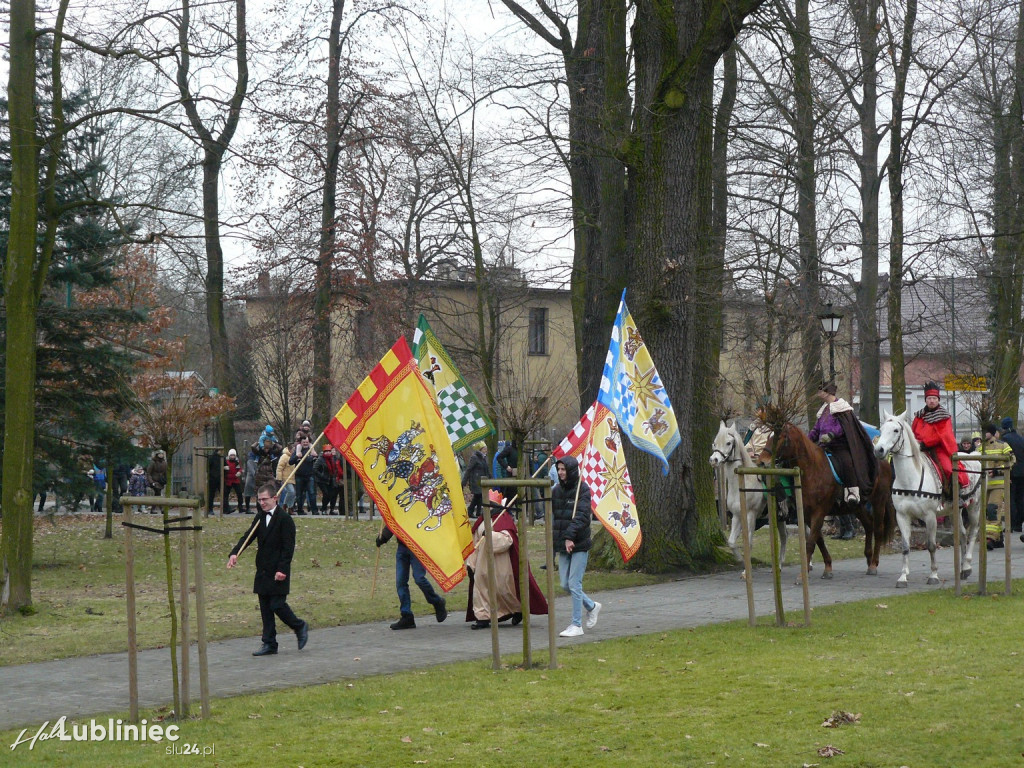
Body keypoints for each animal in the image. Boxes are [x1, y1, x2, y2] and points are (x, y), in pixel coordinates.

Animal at [712, 421, 790, 565]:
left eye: (728, 443)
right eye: (715, 443)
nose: (713, 460)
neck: (744, 481)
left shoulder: (751, 515)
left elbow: (748, 543)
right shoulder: (737, 516)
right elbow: (731, 542)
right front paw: (740, 560)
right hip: (780, 517)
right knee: (784, 536)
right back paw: (780, 563)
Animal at [770, 423, 892, 581]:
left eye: (781, 436)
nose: (763, 458)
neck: (813, 469)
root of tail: (883, 460)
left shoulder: (818, 512)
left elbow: (810, 543)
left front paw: (802, 576)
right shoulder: (808, 514)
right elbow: (819, 540)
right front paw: (827, 568)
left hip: (879, 501)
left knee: (877, 529)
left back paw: (873, 565)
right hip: (857, 507)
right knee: (868, 525)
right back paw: (868, 558)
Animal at [872, 415, 983, 589]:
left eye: (896, 430)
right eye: (881, 430)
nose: (879, 450)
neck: (910, 479)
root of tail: (973, 456)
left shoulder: (930, 517)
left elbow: (931, 545)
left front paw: (933, 575)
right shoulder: (902, 516)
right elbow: (905, 547)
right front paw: (903, 577)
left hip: (974, 506)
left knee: (973, 532)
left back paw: (967, 565)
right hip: (954, 510)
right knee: (963, 534)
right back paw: (963, 570)